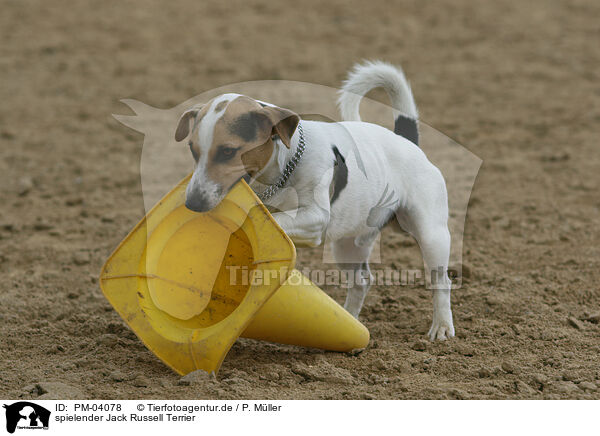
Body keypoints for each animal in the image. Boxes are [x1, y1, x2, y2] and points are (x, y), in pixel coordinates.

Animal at [173, 61, 454, 340]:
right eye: (192, 150)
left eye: (228, 151)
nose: (193, 204)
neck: (283, 168)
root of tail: (407, 141)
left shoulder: (315, 219)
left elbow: (277, 219)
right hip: (347, 245)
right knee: (361, 281)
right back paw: (351, 322)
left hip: (432, 235)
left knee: (441, 281)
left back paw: (441, 326)